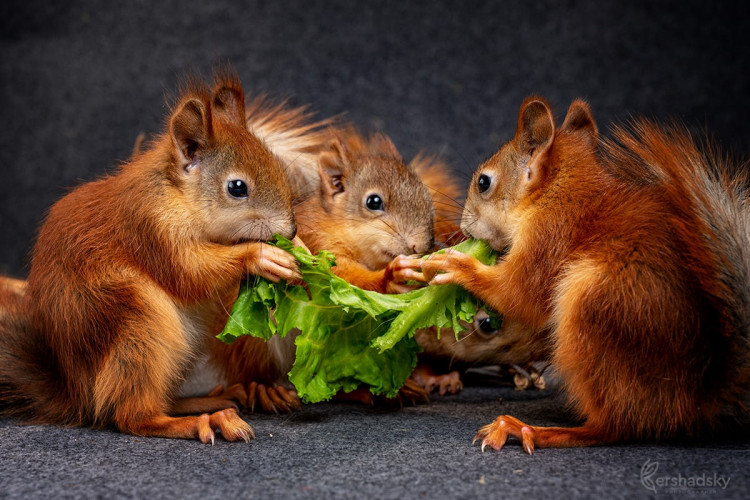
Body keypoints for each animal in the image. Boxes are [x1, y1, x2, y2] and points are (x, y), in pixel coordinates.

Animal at [420, 95, 748, 452]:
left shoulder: (549, 234)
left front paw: (455, 265)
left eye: (483, 182)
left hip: (592, 310)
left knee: (615, 426)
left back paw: (527, 429)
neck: (556, 190)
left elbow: (518, 292)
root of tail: (697, 401)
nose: (464, 227)